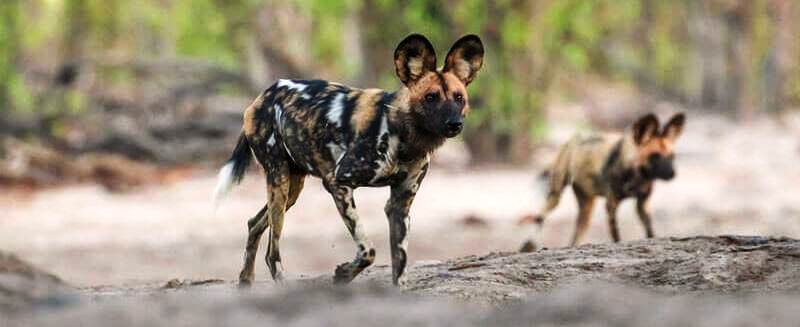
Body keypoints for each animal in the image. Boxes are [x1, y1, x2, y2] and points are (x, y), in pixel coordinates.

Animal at [212, 34, 484, 288]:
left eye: (459, 98)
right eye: (431, 97)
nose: (454, 124)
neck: (405, 135)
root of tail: (262, 96)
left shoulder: (400, 204)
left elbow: (400, 265)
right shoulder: (338, 183)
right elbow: (368, 251)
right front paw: (343, 274)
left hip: (291, 189)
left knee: (254, 223)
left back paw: (245, 281)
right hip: (279, 182)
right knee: (272, 251)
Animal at [520, 113, 688, 251]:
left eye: (672, 156)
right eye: (655, 156)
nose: (673, 174)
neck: (637, 176)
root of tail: (574, 139)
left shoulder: (642, 205)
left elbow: (650, 231)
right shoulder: (611, 205)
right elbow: (616, 236)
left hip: (586, 209)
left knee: (576, 235)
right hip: (555, 195)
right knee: (540, 217)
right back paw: (528, 244)